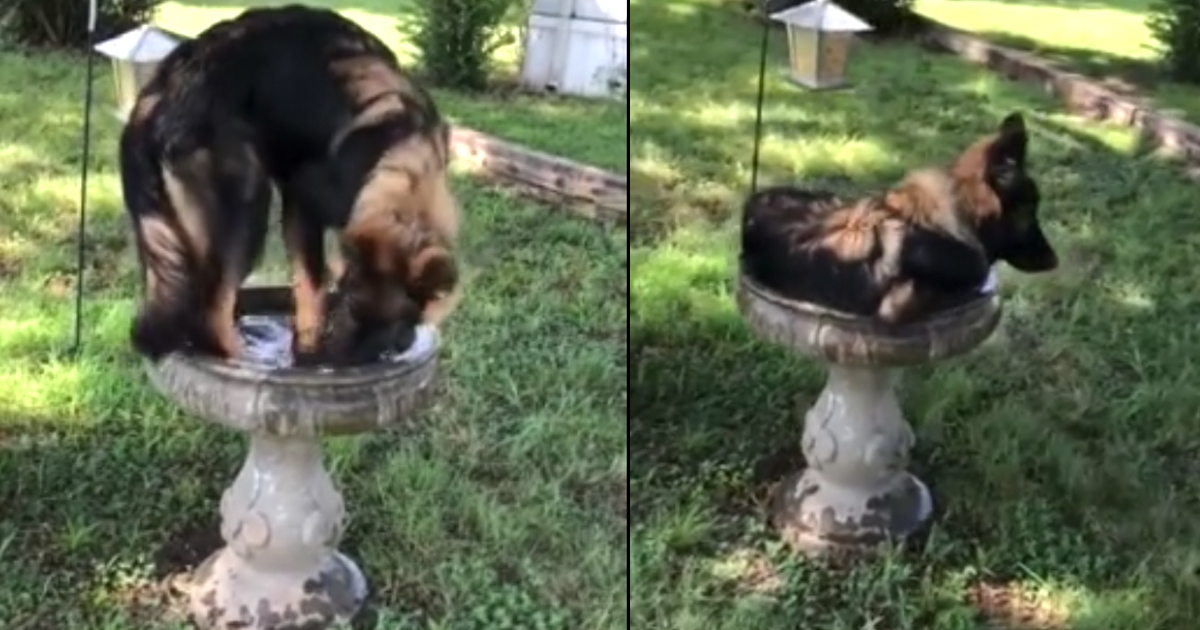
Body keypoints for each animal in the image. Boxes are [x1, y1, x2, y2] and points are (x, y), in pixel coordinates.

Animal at [119, 4, 458, 364]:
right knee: (211, 316)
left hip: (163, 239)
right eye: (353, 309)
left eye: (395, 323)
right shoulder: (305, 199)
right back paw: (245, 361)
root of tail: (157, 101)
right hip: (246, 210)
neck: (403, 156)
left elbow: (310, 290)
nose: (343, 363)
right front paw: (307, 353)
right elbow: (314, 284)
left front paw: (304, 351)